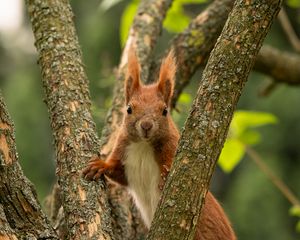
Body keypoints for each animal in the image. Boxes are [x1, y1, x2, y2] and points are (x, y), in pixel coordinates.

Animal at [82, 47, 237, 239]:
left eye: (164, 111)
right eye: (129, 109)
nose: (146, 125)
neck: (143, 145)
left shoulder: (172, 150)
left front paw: (165, 177)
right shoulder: (124, 156)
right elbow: (116, 172)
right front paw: (99, 166)